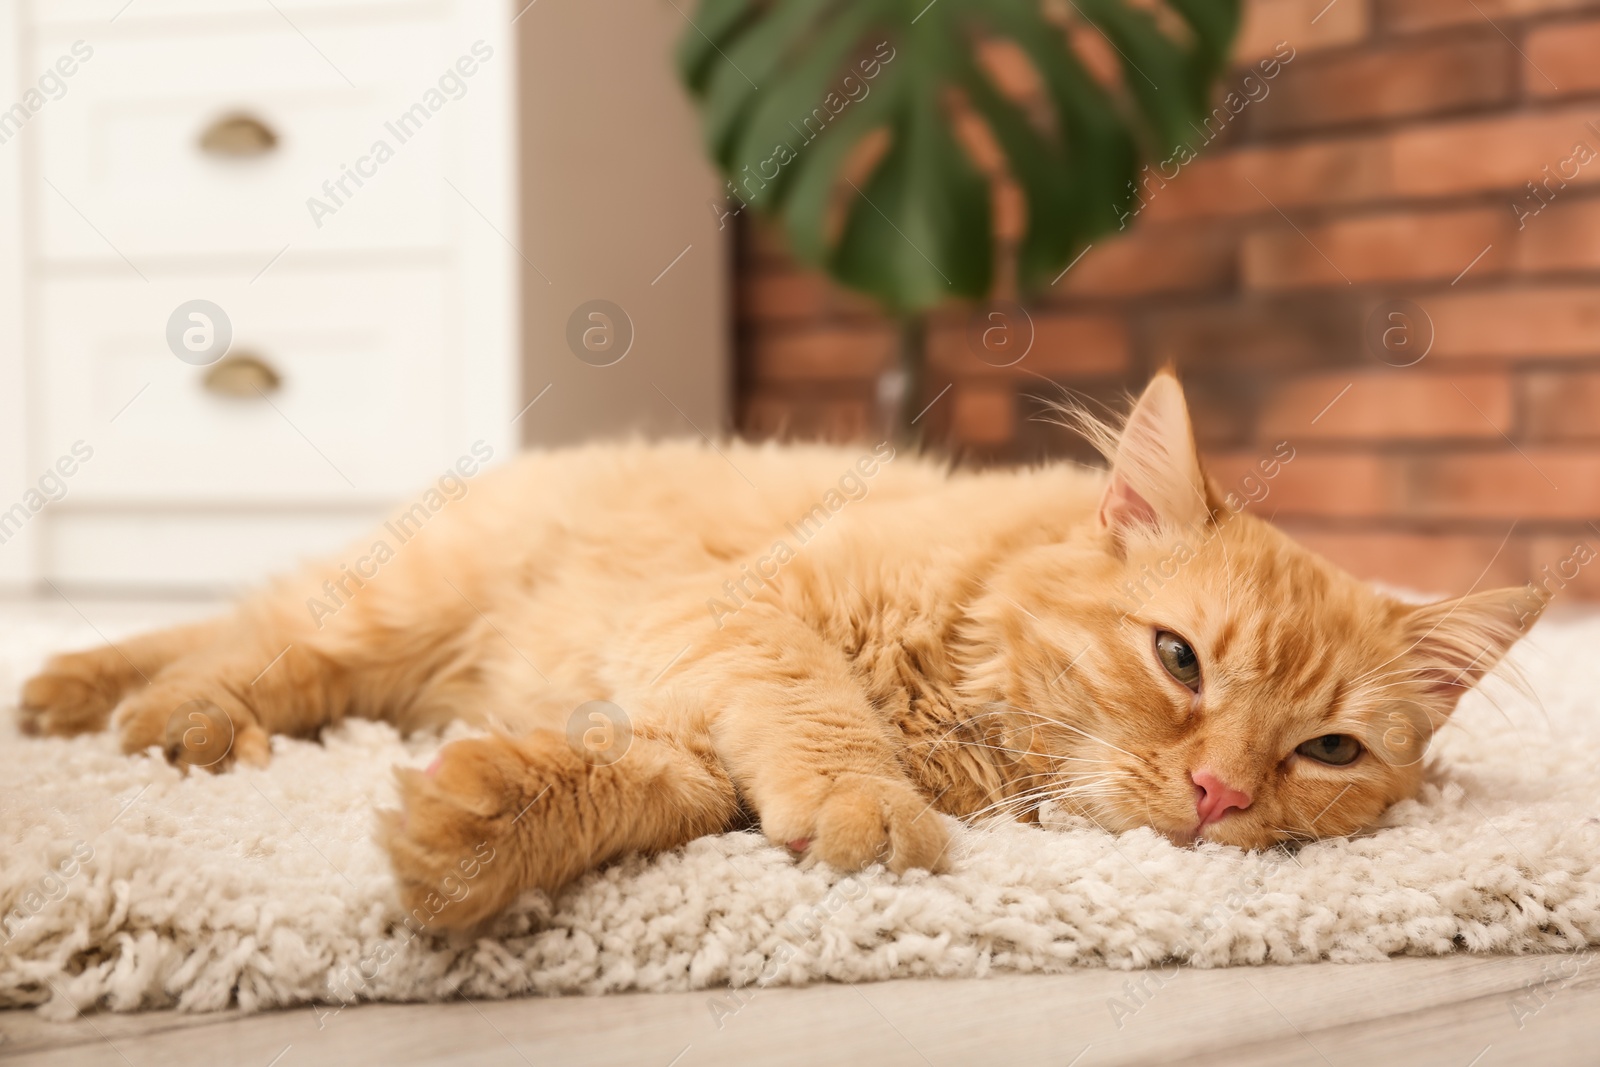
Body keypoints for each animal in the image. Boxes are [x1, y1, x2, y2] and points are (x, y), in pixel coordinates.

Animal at [15, 374, 1536, 927]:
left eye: (1326, 750)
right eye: (1178, 660)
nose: (1221, 794)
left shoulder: (671, 710)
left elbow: (639, 787)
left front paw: (470, 828)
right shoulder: (726, 619)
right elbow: (813, 715)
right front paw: (868, 805)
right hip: (381, 626)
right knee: (243, 640)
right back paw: (132, 708)